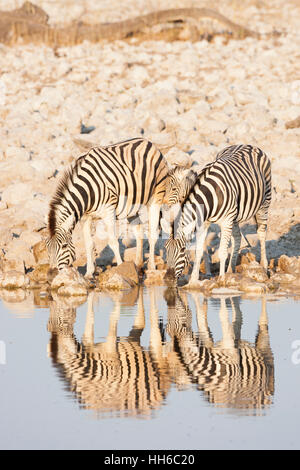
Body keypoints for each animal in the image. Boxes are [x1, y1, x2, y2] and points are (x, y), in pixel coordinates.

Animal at [47, 137, 169, 276]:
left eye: (64, 246)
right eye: (47, 248)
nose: (51, 275)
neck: (87, 191)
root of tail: (147, 141)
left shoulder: (108, 211)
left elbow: (113, 242)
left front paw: (121, 268)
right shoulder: (85, 217)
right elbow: (89, 244)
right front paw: (89, 273)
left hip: (156, 196)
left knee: (152, 233)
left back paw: (152, 267)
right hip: (132, 206)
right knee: (139, 232)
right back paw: (138, 266)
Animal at [47, 288, 170, 416]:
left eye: (61, 317)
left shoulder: (113, 356)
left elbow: (113, 316)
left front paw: (116, 298)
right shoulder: (89, 343)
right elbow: (90, 319)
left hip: (155, 356)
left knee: (153, 321)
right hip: (133, 345)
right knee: (140, 322)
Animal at [164, 145, 272, 280]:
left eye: (183, 250)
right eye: (166, 248)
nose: (168, 278)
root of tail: (247, 145)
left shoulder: (226, 221)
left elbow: (222, 252)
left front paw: (221, 279)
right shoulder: (203, 223)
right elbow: (199, 251)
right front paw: (193, 280)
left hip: (264, 204)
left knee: (261, 234)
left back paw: (263, 266)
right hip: (235, 217)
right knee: (237, 237)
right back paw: (230, 270)